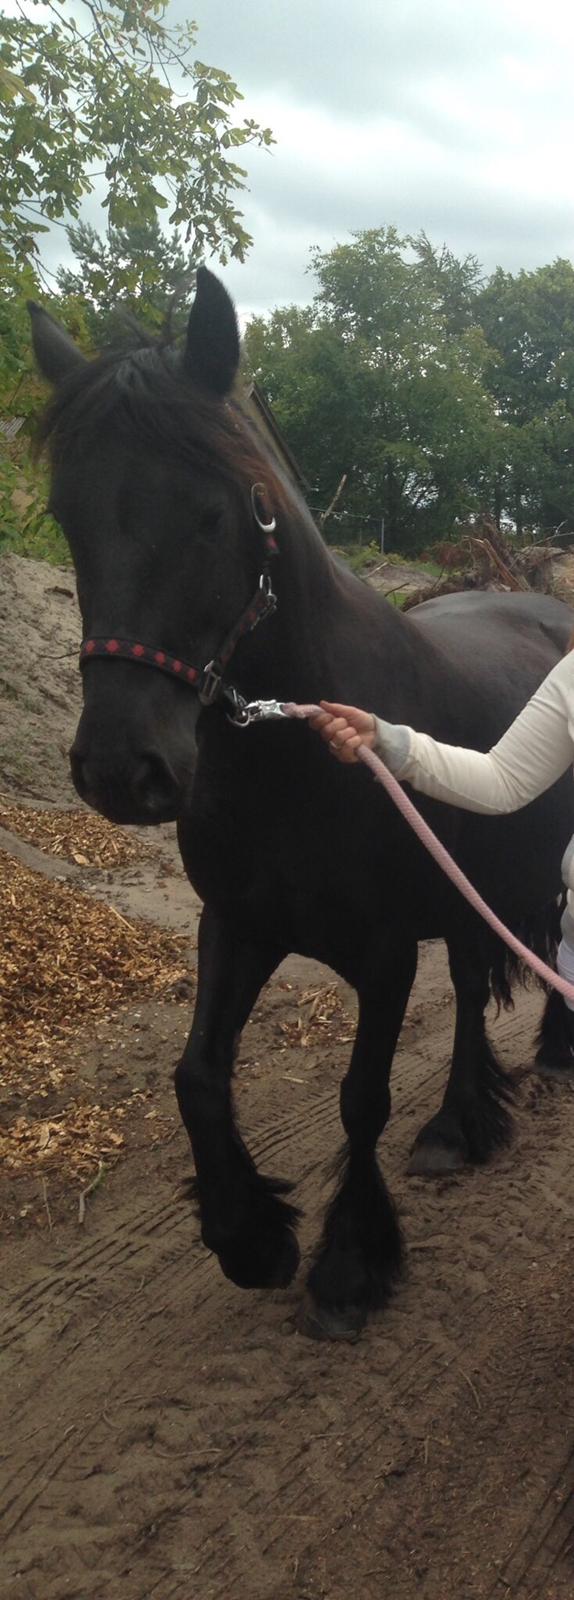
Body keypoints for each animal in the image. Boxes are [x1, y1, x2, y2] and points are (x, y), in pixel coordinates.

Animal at [29, 269, 574, 1340]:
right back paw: (456, 1126)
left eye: (214, 514)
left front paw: (348, 1269)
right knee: (471, 983)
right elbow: (197, 1078)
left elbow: (360, 1098)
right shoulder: (236, 926)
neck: (288, 767)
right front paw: (249, 1238)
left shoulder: (384, 955)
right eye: (68, 513)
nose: (121, 769)